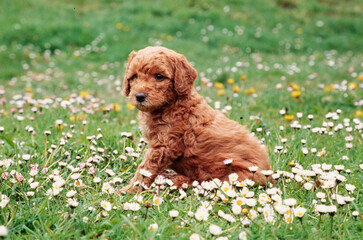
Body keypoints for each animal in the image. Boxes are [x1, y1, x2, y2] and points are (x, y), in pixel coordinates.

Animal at [121, 47, 272, 193]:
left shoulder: (164, 146)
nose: (139, 96)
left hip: (236, 175)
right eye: (134, 76)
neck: (172, 103)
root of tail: (270, 176)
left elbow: (144, 169)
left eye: (159, 76)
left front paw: (126, 191)